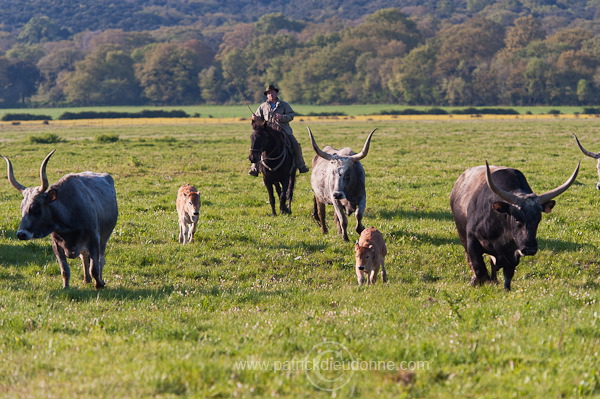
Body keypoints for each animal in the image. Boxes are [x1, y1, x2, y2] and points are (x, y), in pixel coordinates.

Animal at [2, 152, 118, 290]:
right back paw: (86, 280)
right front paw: (66, 287)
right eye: (21, 207)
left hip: (104, 238)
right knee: (84, 257)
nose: (21, 234)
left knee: (100, 259)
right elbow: (64, 269)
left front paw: (99, 284)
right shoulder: (56, 245)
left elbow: (94, 267)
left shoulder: (94, 239)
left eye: (35, 207)